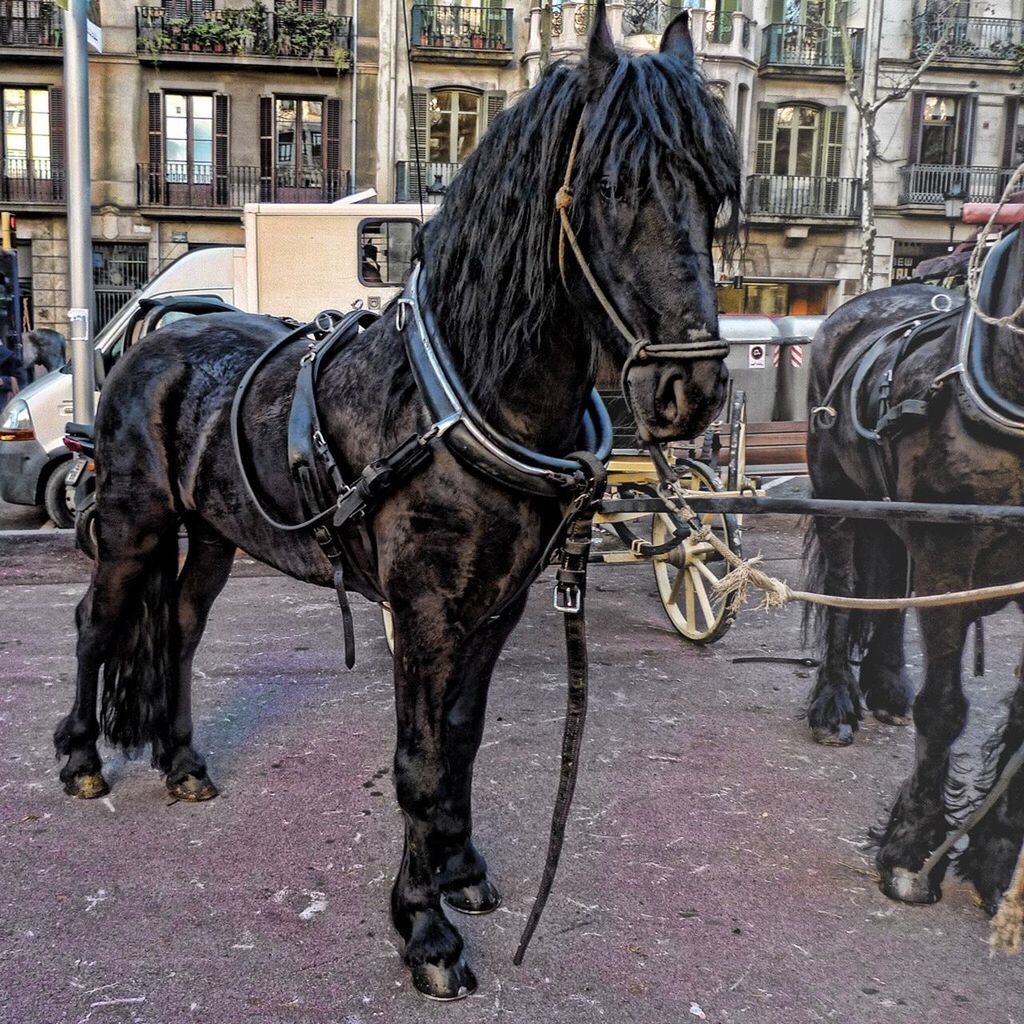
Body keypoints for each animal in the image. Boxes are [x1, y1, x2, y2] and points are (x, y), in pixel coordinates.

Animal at [51, 8, 741, 999]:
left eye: (716, 194)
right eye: (613, 185)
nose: (693, 391)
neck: (460, 400)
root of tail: (148, 341)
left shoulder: (495, 605)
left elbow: (462, 737)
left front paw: (457, 866)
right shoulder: (423, 610)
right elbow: (416, 758)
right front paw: (425, 929)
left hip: (213, 536)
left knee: (177, 628)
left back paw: (182, 762)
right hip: (133, 527)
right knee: (96, 624)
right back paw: (78, 760)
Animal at [806, 220, 1024, 917]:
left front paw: (995, 855)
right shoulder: (947, 550)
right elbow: (945, 708)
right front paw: (912, 850)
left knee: (889, 593)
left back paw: (884, 686)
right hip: (835, 491)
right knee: (846, 589)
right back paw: (835, 702)